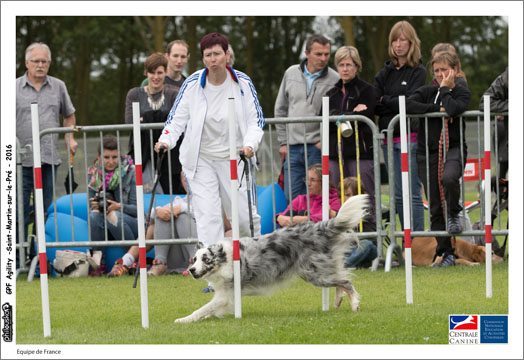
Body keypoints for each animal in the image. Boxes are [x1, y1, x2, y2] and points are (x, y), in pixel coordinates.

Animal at [176, 194, 368, 324]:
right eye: (194, 259)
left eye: (206, 259)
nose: (191, 270)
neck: (225, 260)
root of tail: (318, 228)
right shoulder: (225, 295)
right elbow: (208, 310)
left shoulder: (226, 295)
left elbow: (202, 309)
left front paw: (183, 319)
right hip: (317, 271)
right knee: (341, 279)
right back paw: (337, 300)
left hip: (315, 274)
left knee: (345, 281)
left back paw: (355, 305)